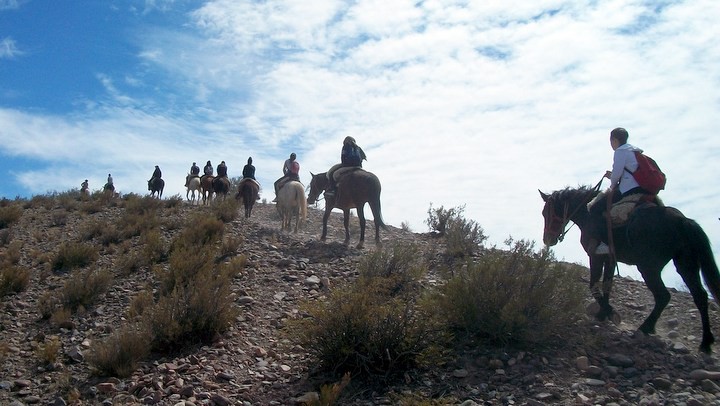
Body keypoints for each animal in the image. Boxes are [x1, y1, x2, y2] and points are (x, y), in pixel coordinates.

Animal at [536, 186, 720, 352]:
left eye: (546, 212)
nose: (548, 239)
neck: (587, 214)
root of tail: (683, 221)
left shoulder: (596, 256)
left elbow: (594, 285)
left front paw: (611, 313)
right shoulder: (610, 259)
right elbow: (606, 285)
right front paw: (602, 314)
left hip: (649, 268)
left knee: (663, 296)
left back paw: (645, 328)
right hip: (685, 264)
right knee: (700, 296)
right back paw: (706, 342)